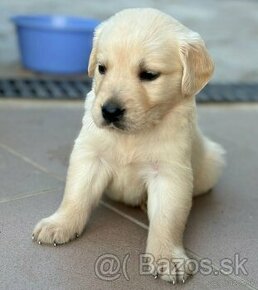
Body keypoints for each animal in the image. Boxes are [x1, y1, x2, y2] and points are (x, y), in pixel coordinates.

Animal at [33, 8, 225, 284]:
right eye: (102, 68)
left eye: (149, 75)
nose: (110, 111)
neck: (132, 135)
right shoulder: (89, 156)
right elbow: (75, 195)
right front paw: (60, 224)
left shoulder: (169, 172)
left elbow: (167, 218)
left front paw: (168, 257)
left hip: (212, 163)